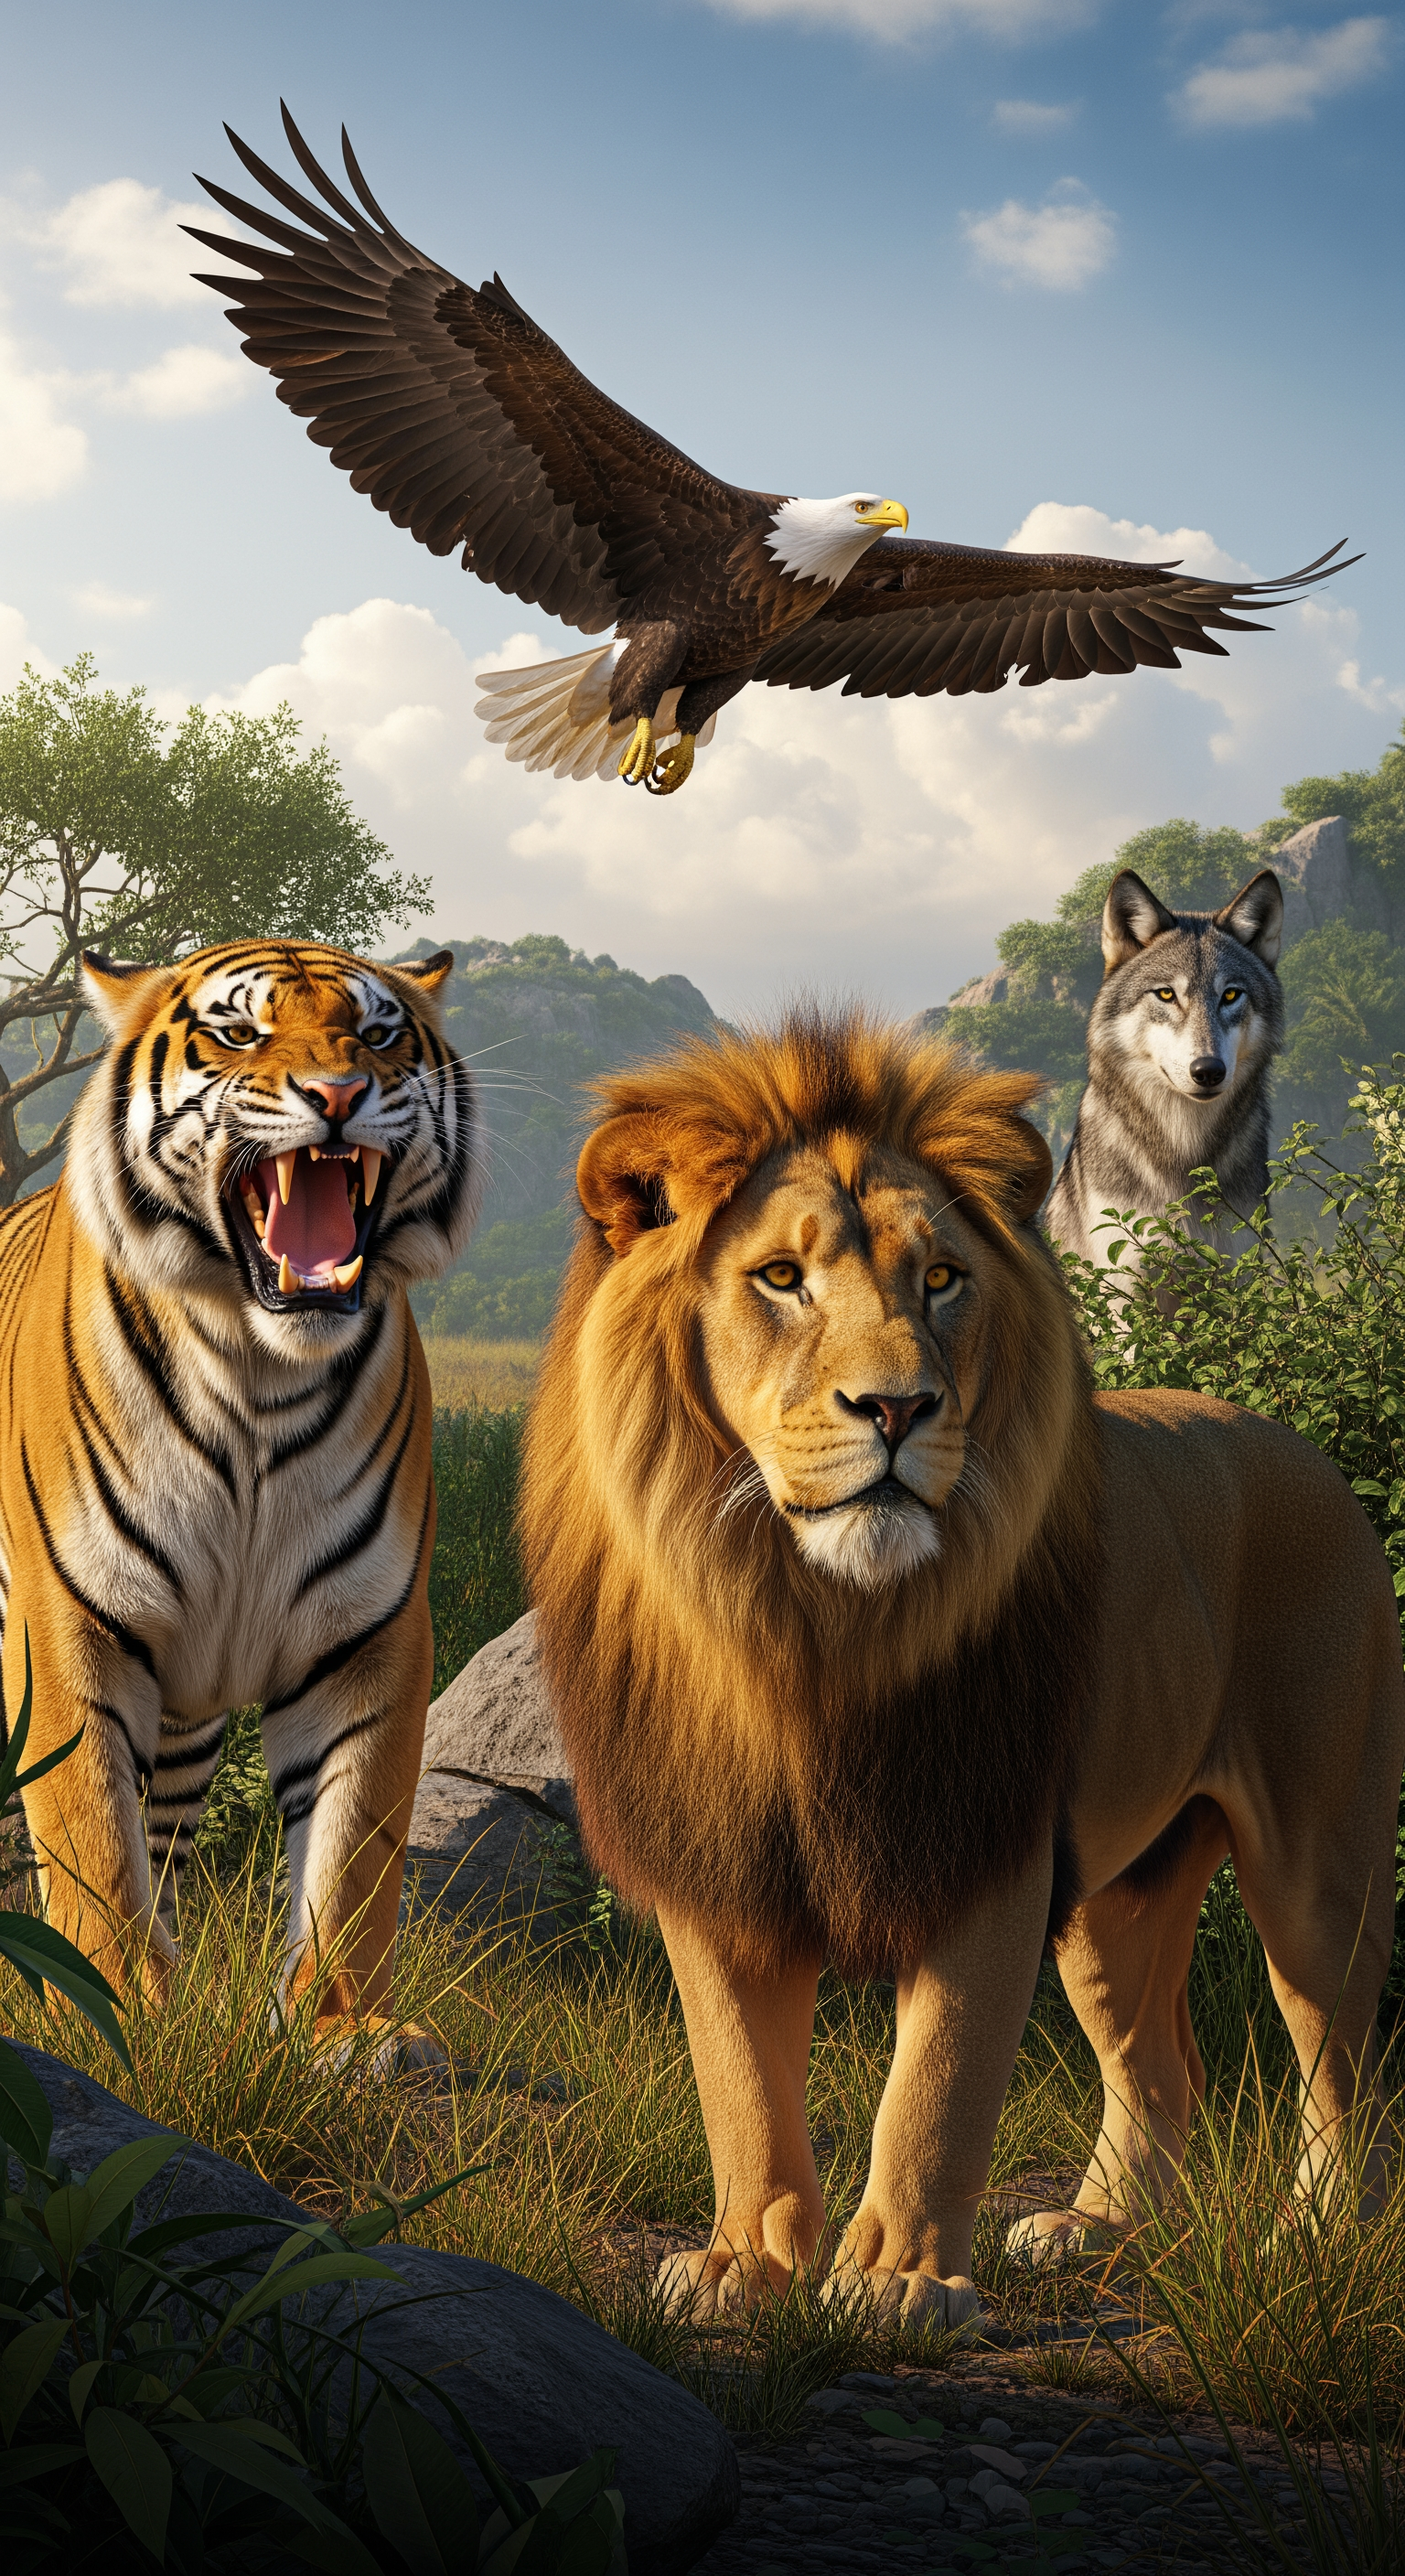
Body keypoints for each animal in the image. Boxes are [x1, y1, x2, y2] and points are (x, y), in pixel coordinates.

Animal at [0, 938, 479, 2044]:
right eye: (237, 1032)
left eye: (377, 1033)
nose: (339, 1093)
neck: (259, 1370)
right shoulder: (68, 1624)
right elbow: (89, 1842)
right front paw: (111, 2012)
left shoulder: (369, 1636)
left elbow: (352, 1861)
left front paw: (340, 2035)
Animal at [520, 1009, 1404, 2325]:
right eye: (779, 1278)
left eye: (940, 1279)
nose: (898, 1408)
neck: (806, 1625)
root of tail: (1299, 1449)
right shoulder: (719, 1855)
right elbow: (739, 2083)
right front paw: (745, 2267)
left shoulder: (988, 1839)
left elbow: (936, 2081)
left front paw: (895, 2284)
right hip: (1116, 1890)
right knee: (1161, 2064)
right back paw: (1094, 2229)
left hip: (1316, 1864)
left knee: (1342, 2058)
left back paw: (1316, 2234)